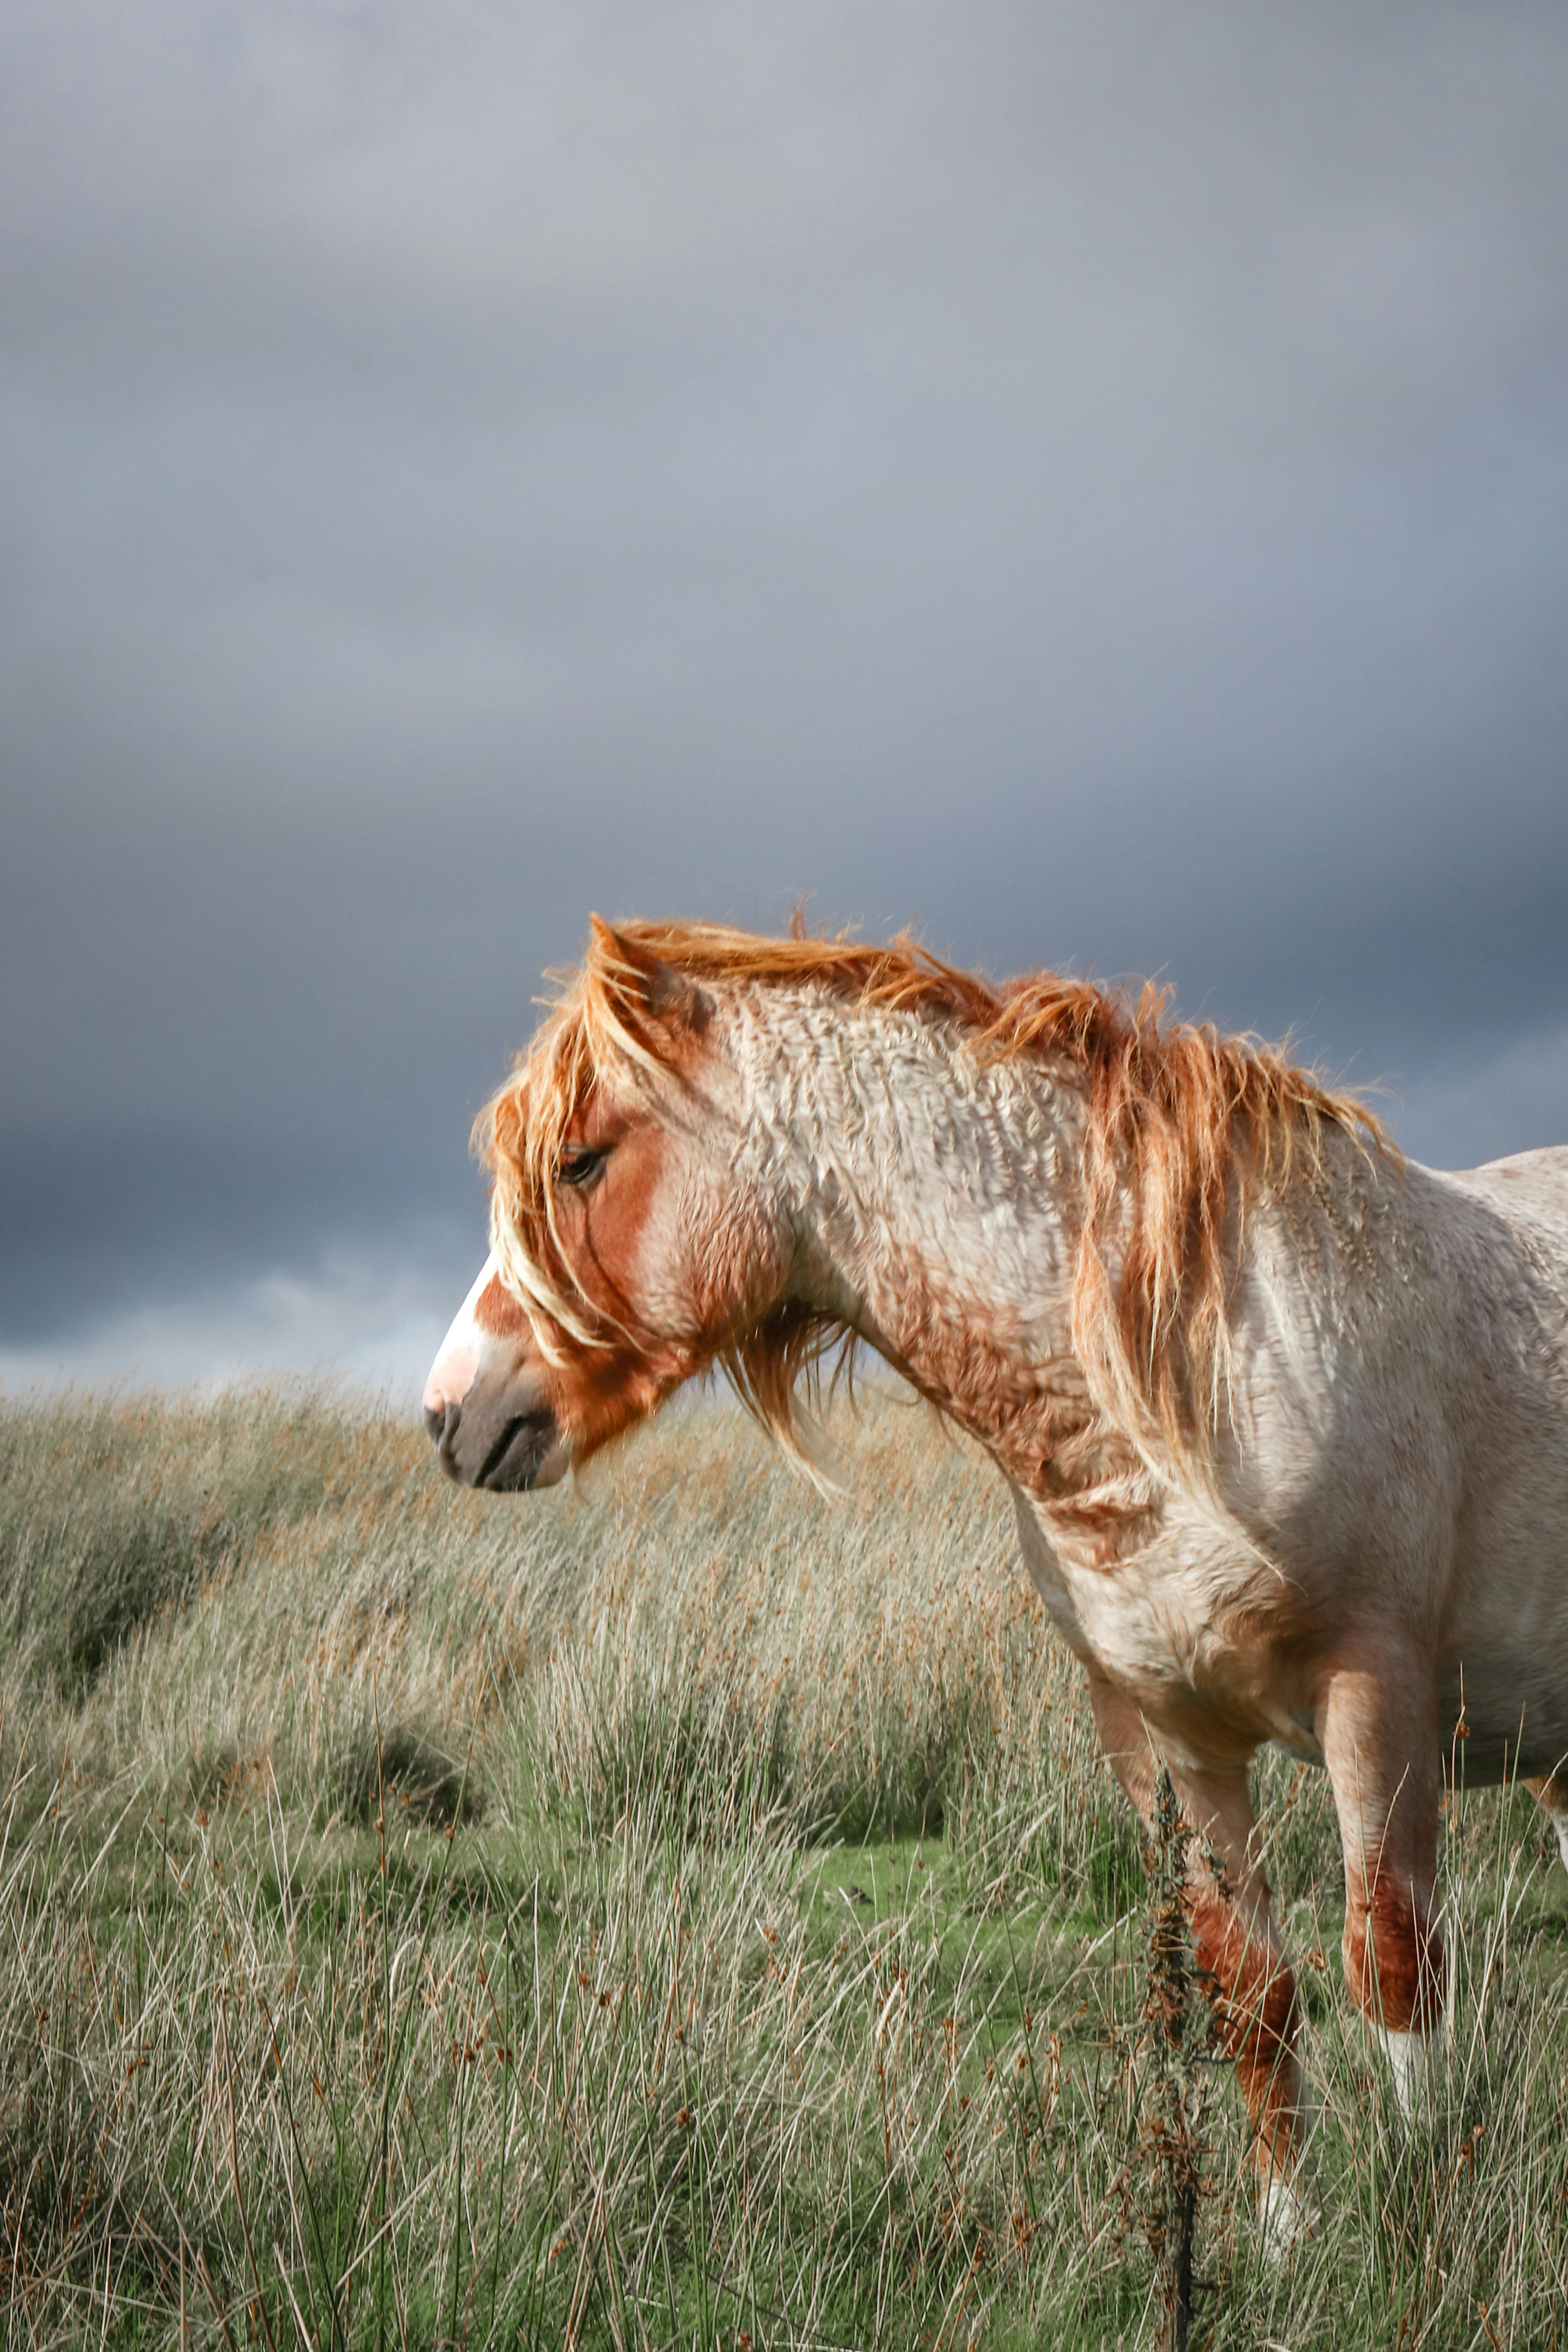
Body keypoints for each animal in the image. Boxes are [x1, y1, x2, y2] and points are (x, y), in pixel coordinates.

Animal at [422, 915, 1568, 2245]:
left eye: (581, 1162)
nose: (450, 1415)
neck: (1180, 1357)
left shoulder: (1374, 1702)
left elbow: (1391, 1967)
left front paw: (1427, 2223)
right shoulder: (1167, 1733)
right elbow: (1251, 1992)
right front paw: (1290, 2243)